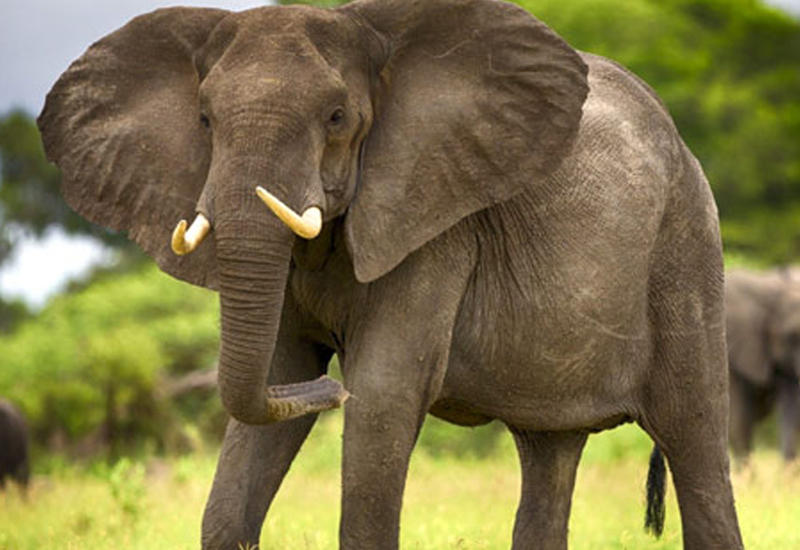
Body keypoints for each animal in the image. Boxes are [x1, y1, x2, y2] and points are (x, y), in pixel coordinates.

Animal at [37, 1, 743, 548]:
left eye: (336, 117)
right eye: (206, 120)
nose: (330, 390)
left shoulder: (434, 223)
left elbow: (382, 397)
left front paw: (349, 391)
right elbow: (271, 385)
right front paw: (302, 384)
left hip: (686, 247)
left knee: (696, 442)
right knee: (550, 453)